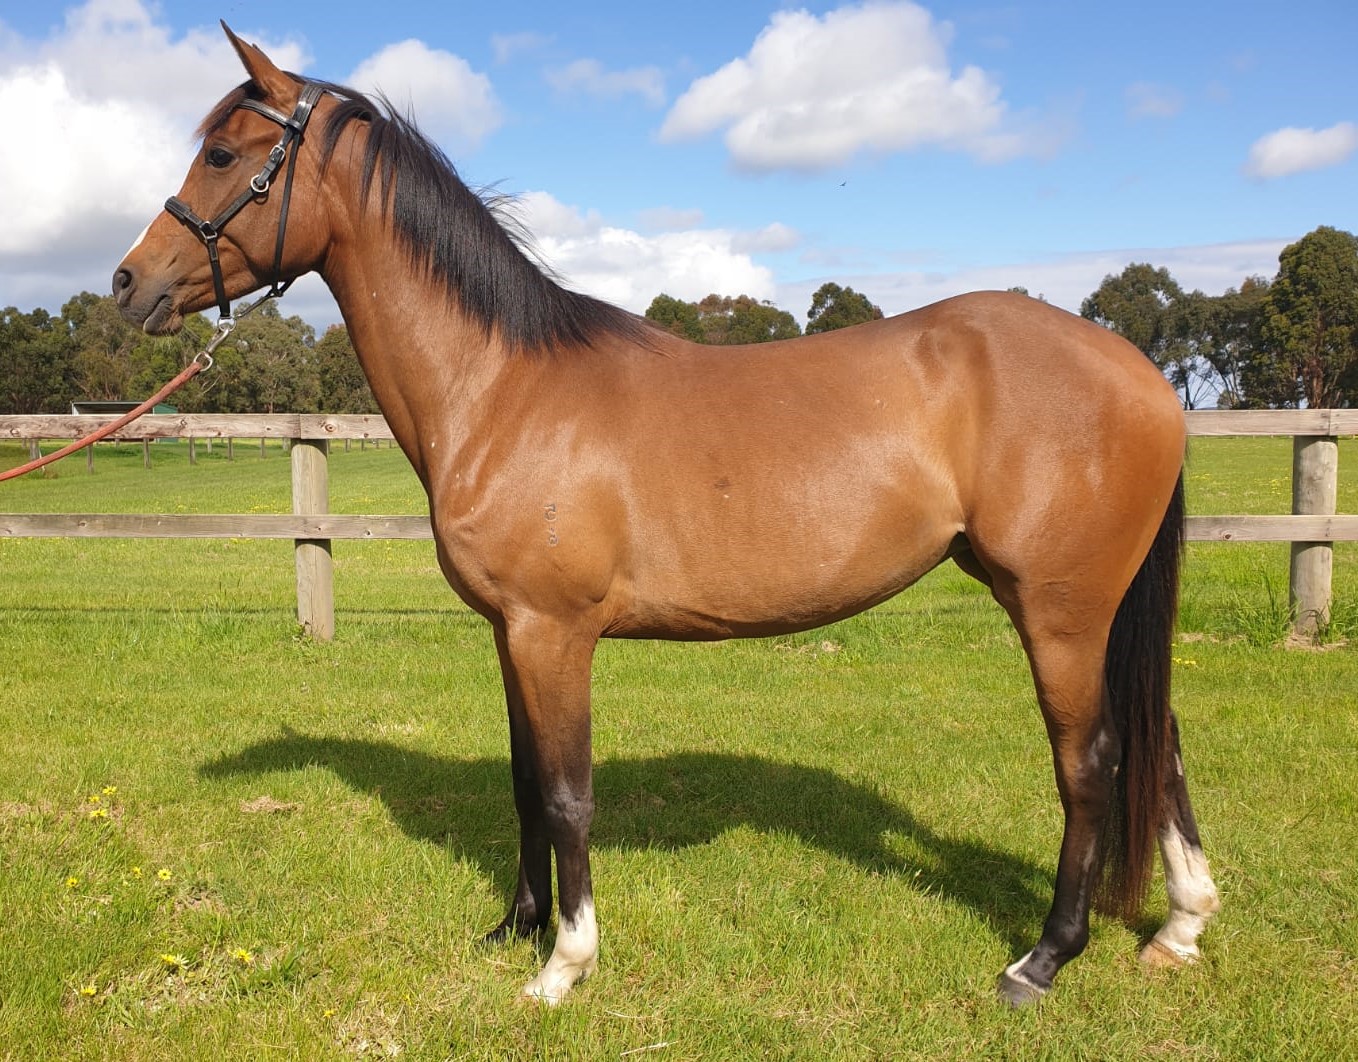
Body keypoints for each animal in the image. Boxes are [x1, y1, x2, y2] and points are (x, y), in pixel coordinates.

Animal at [113, 24, 1219, 1006]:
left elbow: (567, 792)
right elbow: (523, 779)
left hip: (1059, 609)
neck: (502, 387)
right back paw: (1177, 929)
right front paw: (515, 924)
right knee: (1157, 737)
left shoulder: (553, 633)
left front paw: (563, 965)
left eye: (222, 152)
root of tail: (1143, 374)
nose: (129, 283)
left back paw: (1043, 958)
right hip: (1090, 607)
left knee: (1091, 759)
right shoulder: (512, 633)